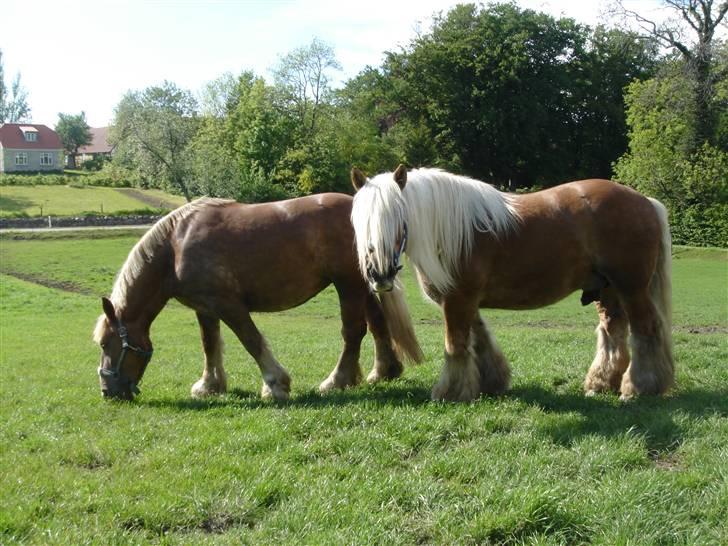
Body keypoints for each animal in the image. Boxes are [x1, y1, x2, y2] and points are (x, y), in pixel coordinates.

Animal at [92, 193, 420, 398]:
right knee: (377, 324)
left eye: (106, 343)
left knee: (354, 332)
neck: (176, 246)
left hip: (348, 285)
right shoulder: (205, 308)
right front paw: (210, 385)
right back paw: (383, 371)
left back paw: (336, 380)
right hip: (362, 285)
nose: (107, 392)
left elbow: (251, 340)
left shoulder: (229, 305)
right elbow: (209, 344)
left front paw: (275, 385)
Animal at [350, 165, 672, 400]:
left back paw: (638, 388)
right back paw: (601, 384)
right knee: (613, 332)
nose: (379, 276)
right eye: (360, 222)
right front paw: (491, 383)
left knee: (645, 330)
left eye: (398, 217)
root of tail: (645, 201)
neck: (452, 231)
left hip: (631, 288)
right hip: (607, 290)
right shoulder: (466, 302)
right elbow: (479, 341)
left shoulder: (457, 300)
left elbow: (455, 345)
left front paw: (450, 392)